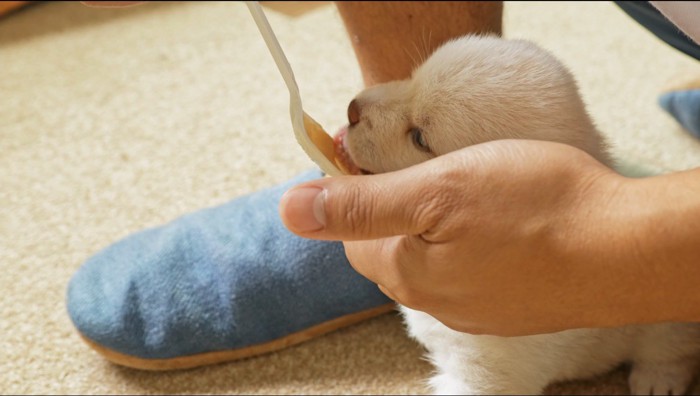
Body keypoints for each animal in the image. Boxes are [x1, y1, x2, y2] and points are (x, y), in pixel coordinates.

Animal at [332, 35, 700, 394]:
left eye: (419, 137)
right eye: (410, 78)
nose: (352, 109)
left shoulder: (486, 373)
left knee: (670, 348)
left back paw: (656, 380)